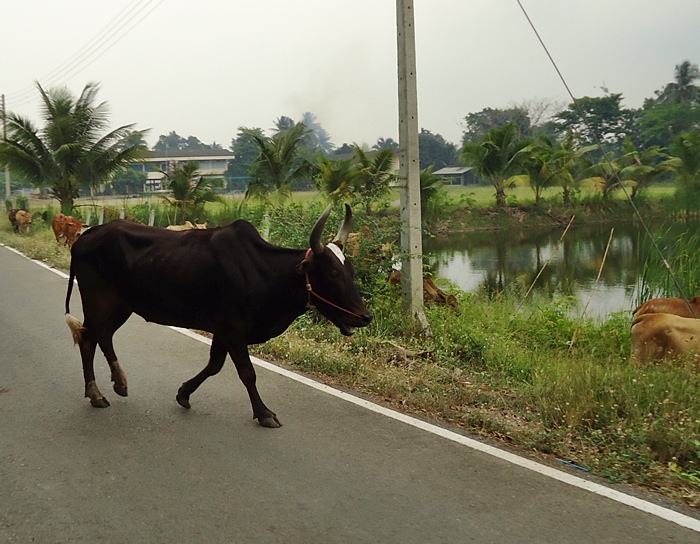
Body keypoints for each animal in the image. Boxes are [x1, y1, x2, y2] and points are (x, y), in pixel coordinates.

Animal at [65, 202, 372, 428]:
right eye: (333, 273)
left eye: (351, 271)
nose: (364, 316)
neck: (263, 271)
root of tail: (86, 236)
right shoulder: (234, 330)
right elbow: (247, 373)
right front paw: (264, 413)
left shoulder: (223, 330)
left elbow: (214, 365)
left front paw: (184, 394)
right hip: (100, 302)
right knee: (88, 339)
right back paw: (98, 392)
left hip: (121, 306)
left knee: (100, 336)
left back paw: (116, 384)